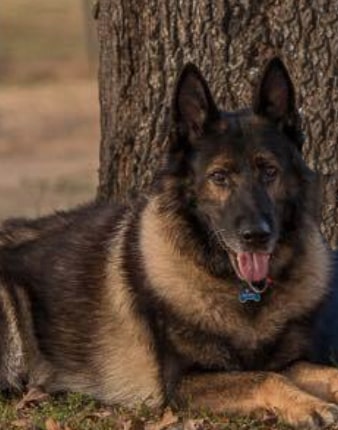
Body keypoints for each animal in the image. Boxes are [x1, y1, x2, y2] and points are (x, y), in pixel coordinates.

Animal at [0, 58, 338, 430]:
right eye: (219, 177)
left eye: (269, 171)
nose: (256, 236)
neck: (244, 295)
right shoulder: (185, 381)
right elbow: (265, 378)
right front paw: (308, 406)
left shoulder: (290, 362)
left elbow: (318, 372)